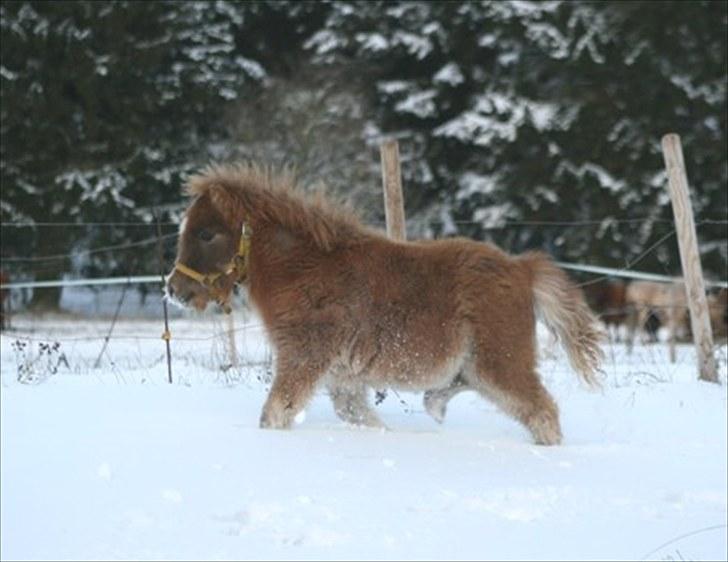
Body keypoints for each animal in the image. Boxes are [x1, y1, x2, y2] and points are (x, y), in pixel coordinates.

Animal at [168, 164, 604, 444]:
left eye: (206, 234)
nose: (173, 289)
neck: (305, 269)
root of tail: (522, 268)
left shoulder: (304, 358)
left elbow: (275, 414)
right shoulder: (343, 377)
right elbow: (361, 419)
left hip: (500, 364)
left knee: (542, 412)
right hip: (480, 368)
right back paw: (436, 403)